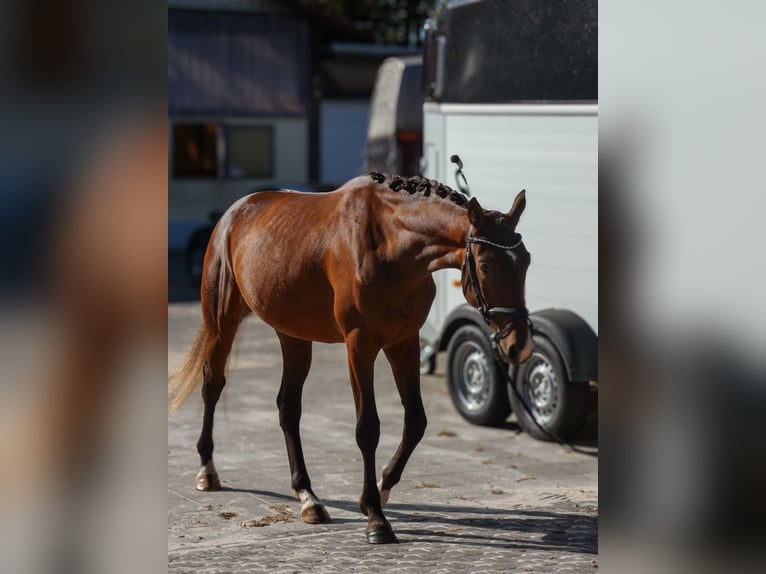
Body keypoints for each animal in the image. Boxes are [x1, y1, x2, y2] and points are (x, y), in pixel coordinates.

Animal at [168, 172, 533, 544]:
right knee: (212, 386)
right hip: (222, 320)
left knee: (288, 407)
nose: (519, 344)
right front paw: (376, 517)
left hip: (294, 336)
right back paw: (207, 471)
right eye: (485, 265)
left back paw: (308, 497)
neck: (390, 244)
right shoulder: (359, 345)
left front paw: (381, 489)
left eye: (526, 262)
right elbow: (367, 427)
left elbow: (415, 422)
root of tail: (233, 214)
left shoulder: (404, 343)